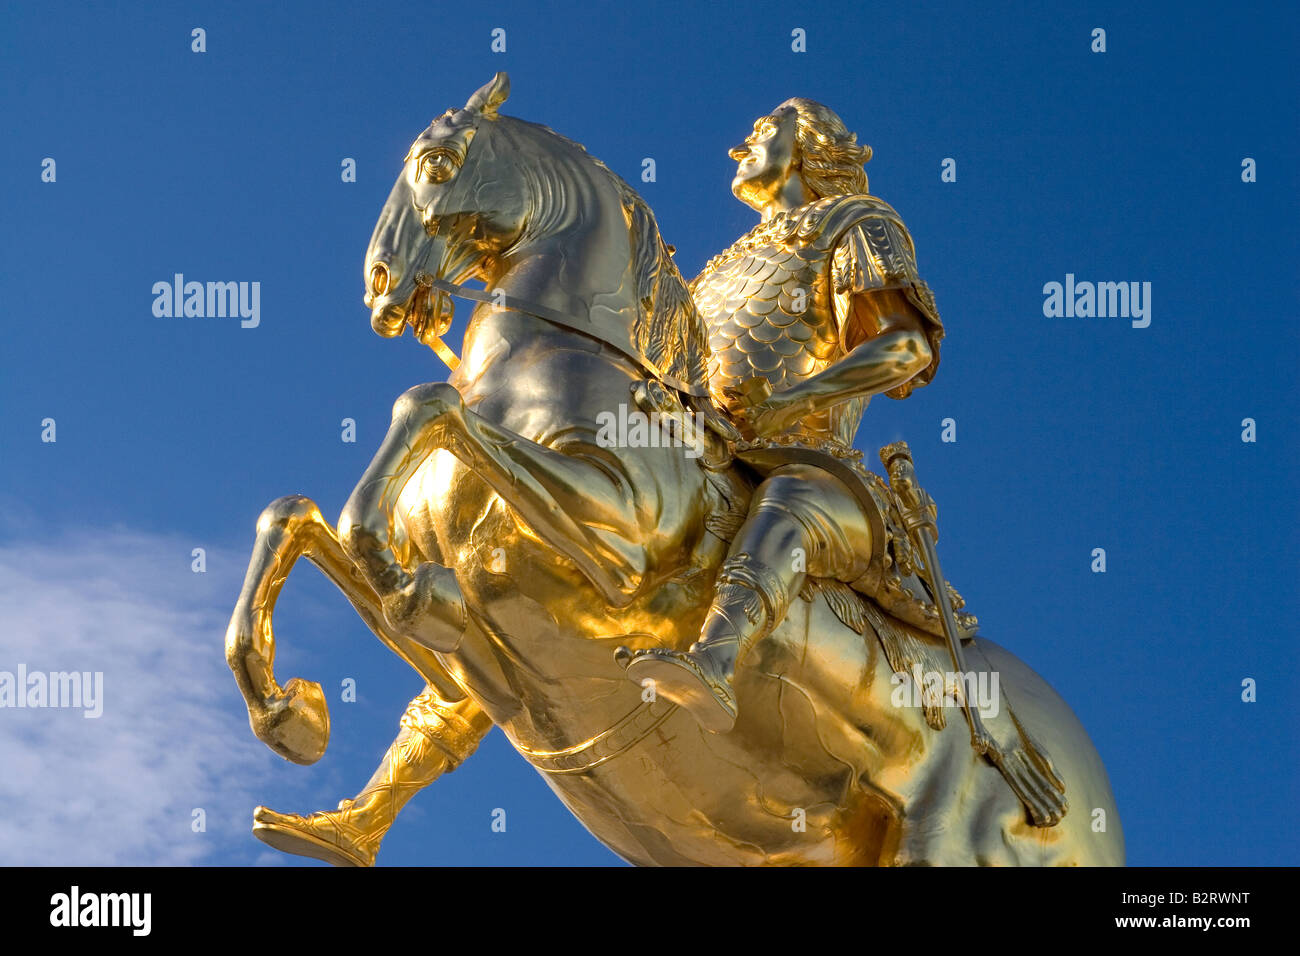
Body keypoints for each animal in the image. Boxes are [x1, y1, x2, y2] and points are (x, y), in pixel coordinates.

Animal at [226, 74, 1128, 868]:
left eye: (440, 164)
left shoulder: (616, 554)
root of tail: (1088, 799)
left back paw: (693, 675)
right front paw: (288, 711)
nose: (381, 286)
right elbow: (295, 517)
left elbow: (428, 404)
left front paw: (393, 577)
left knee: (787, 513)